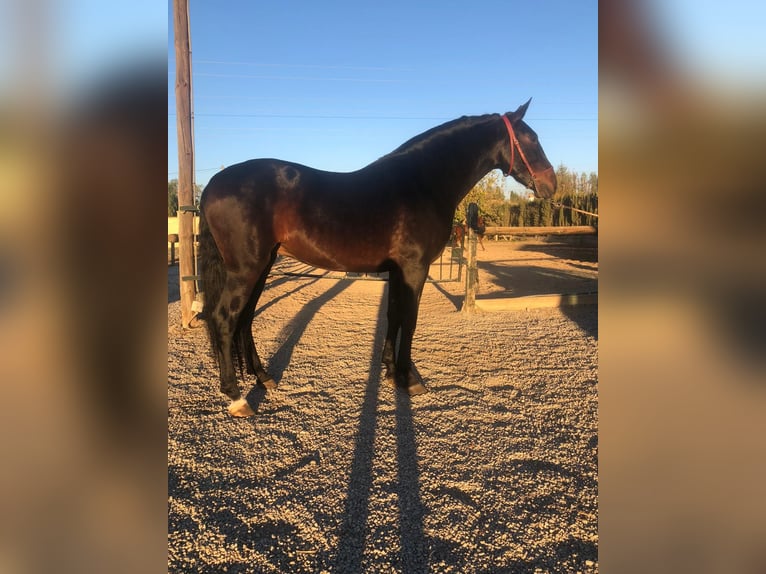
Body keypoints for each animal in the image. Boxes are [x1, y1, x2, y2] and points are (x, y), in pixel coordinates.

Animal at [198, 98, 556, 417]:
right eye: (531, 139)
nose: (551, 184)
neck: (421, 183)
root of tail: (214, 183)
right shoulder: (414, 269)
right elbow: (409, 321)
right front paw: (409, 379)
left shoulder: (398, 271)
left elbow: (393, 316)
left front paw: (389, 370)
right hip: (246, 269)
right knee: (224, 318)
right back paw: (236, 398)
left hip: (262, 266)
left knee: (245, 319)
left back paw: (263, 378)